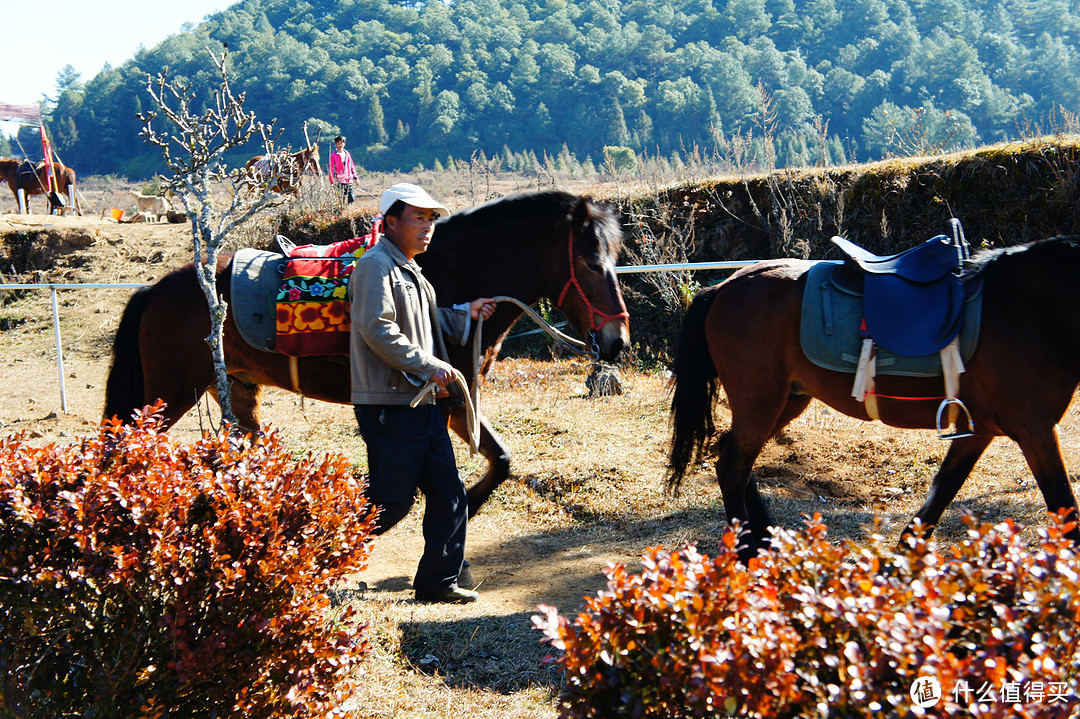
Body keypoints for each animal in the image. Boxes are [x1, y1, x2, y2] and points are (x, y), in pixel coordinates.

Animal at [105, 190, 630, 516]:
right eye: (589, 262)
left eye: (615, 258)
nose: (617, 341)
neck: (449, 272)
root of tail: (156, 291)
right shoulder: (451, 397)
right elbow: (495, 461)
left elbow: (501, 459)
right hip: (170, 395)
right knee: (124, 447)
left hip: (234, 388)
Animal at [665, 237, 1080, 557]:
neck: (1024, 309)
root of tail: (723, 287)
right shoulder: (1034, 429)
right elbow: (1064, 505)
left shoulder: (979, 431)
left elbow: (941, 493)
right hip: (760, 402)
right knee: (733, 466)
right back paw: (747, 552)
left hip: (786, 401)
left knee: (732, 457)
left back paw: (765, 539)